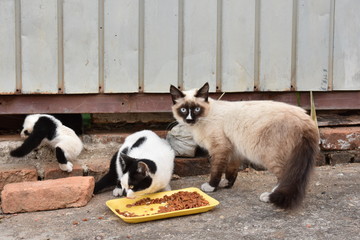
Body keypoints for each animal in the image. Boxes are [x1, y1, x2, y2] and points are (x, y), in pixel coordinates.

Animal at [170, 83, 320, 210]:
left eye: (196, 109)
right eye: (183, 110)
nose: (189, 119)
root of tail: (306, 119)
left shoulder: (219, 148)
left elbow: (216, 170)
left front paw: (211, 187)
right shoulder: (234, 150)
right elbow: (231, 170)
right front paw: (227, 184)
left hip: (270, 156)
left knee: (285, 176)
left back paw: (268, 196)